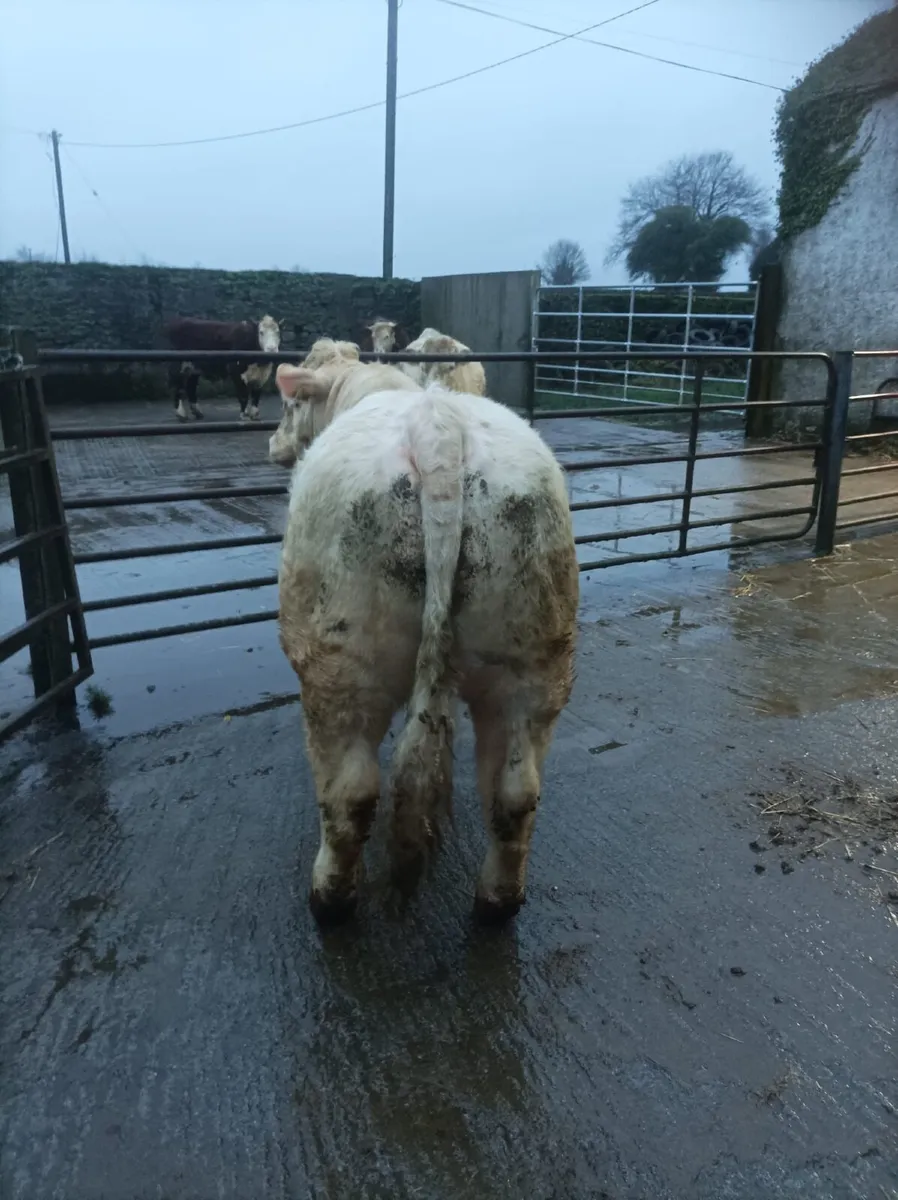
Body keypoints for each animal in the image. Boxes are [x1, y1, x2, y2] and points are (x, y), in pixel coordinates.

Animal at [270, 360, 579, 926]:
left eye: (290, 405)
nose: (274, 445)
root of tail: (437, 430)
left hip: (340, 661)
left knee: (351, 792)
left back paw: (330, 900)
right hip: (536, 651)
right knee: (515, 793)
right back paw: (497, 902)